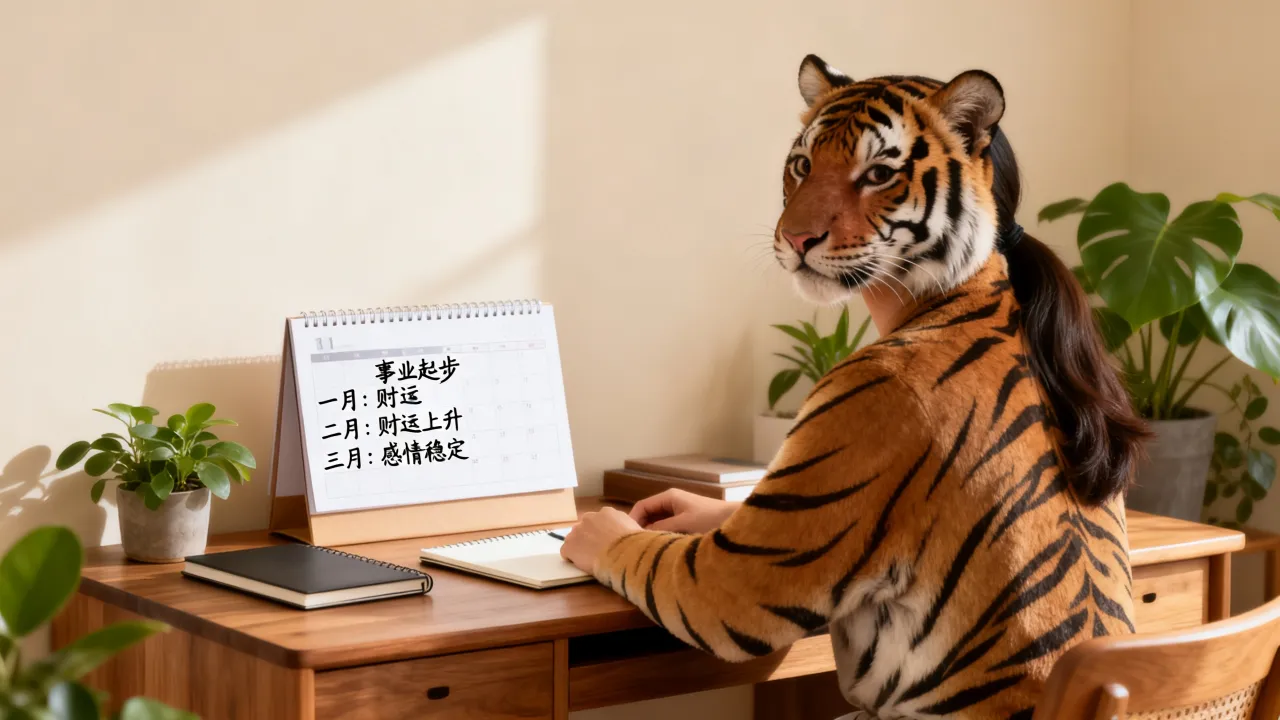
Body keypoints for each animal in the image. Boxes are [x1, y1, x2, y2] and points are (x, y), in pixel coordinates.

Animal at [578, 55, 1149, 719]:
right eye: (803, 165)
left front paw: (600, 528)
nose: (796, 239)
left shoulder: (755, 552)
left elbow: (677, 567)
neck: (955, 289)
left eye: (878, 174)